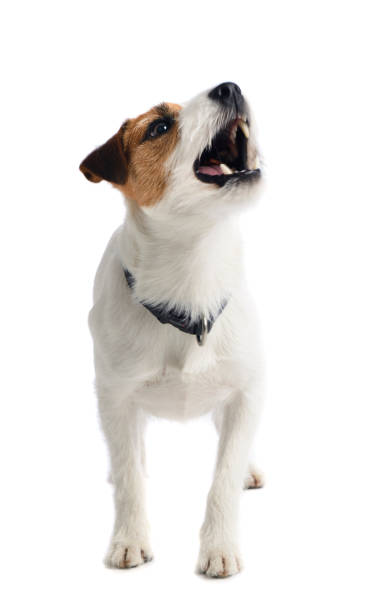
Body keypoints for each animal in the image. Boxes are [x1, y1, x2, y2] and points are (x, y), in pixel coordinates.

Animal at [79, 82, 264, 580]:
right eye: (159, 126)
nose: (230, 87)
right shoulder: (116, 395)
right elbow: (129, 479)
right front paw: (129, 539)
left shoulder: (244, 394)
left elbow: (223, 477)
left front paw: (219, 547)